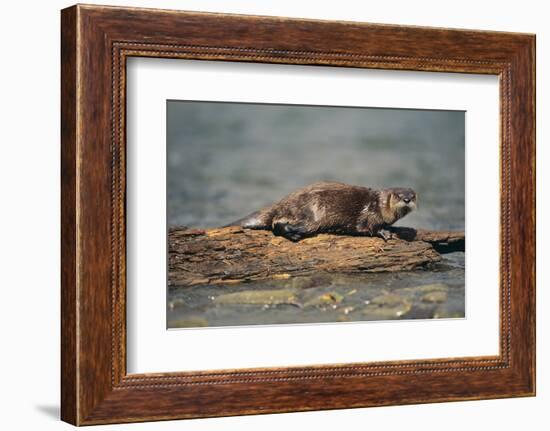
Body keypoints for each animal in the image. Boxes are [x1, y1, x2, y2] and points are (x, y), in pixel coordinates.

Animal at [227, 181, 418, 243]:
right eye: (399, 196)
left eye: (413, 195)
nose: (407, 199)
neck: (379, 204)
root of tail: (281, 202)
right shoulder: (369, 214)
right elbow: (369, 227)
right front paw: (385, 232)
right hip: (312, 214)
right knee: (278, 224)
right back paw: (294, 235)